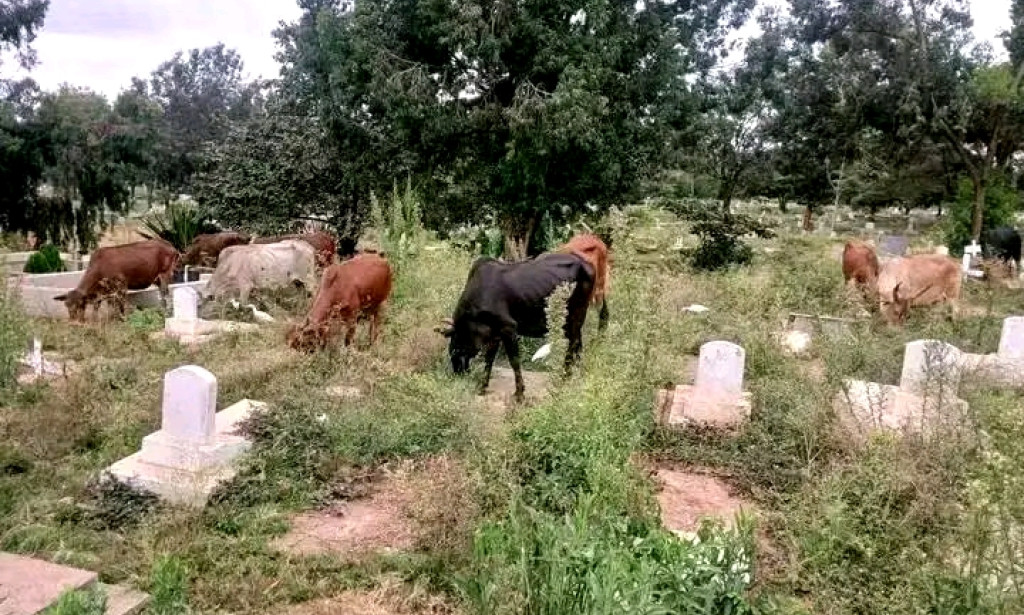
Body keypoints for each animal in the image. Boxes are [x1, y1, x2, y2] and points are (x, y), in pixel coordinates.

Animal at [438, 238, 609, 402]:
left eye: (455, 348)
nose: (458, 372)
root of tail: (587, 264)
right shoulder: (495, 334)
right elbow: (489, 360)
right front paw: (482, 387)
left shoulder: (509, 328)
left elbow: (514, 361)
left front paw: (519, 393)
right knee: (577, 343)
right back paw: (574, 374)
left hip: (577, 313)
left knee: (573, 343)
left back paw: (564, 377)